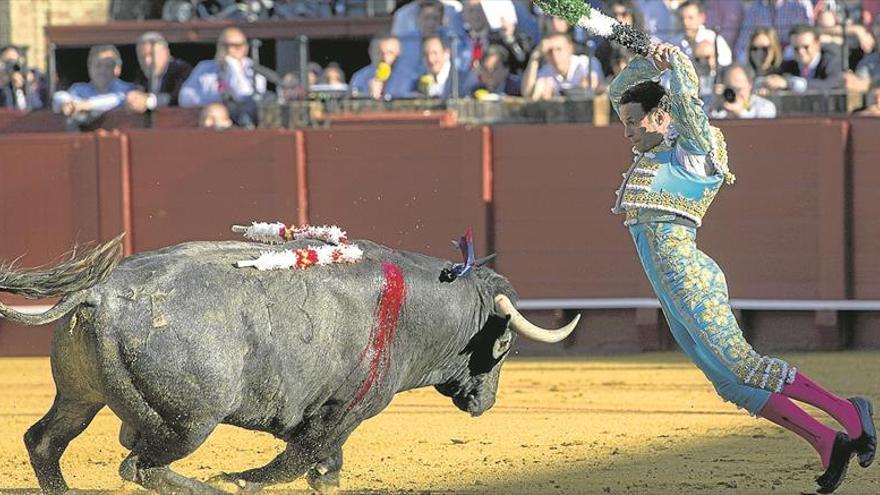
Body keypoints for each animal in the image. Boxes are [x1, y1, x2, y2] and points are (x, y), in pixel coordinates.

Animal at [3, 234, 580, 494]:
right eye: (506, 346)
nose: (485, 403)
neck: (415, 307)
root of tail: (100, 293)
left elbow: (319, 462)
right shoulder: (347, 409)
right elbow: (301, 457)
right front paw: (243, 480)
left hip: (79, 397)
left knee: (46, 441)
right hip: (189, 422)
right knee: (139, 465)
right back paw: (213, 487)